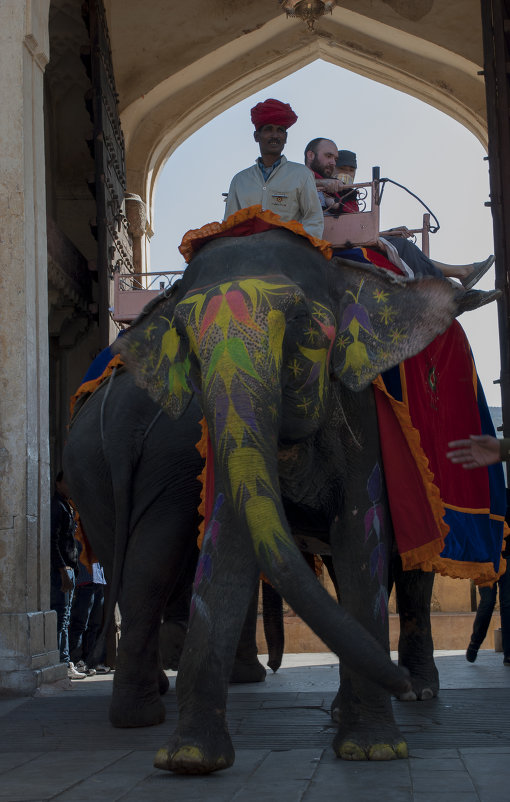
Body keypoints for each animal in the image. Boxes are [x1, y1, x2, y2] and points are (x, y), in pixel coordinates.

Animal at [102, 227, 462, 768]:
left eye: (299, 322)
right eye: (183, 337)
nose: (397, 685)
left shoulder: (361, 416)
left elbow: (361, 537)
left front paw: (374, 750)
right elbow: (227, 542)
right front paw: (189, 758)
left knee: (413, 572)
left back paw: (419, 692)